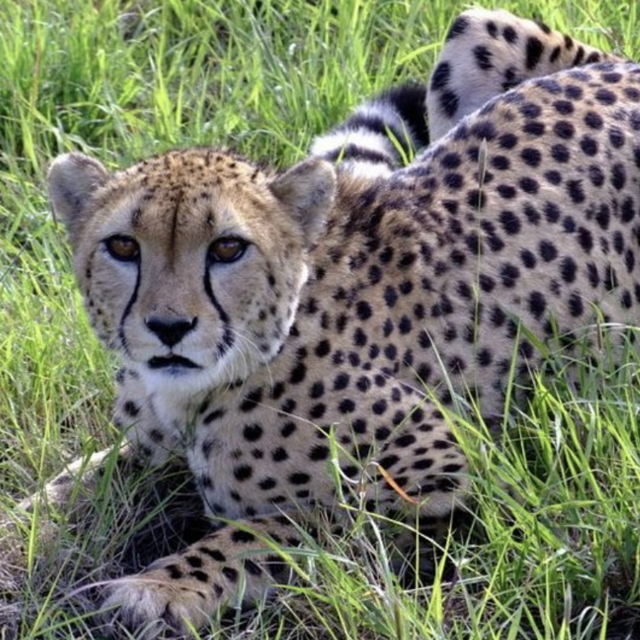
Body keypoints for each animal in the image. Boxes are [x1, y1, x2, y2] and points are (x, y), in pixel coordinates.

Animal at [21, 7, 640, 637]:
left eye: (227, 248)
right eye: (123, 246)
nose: (168, 327)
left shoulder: (455, 466)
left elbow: (271, 530)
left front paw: (160, 587)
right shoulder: (147, 445)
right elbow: (68, 484)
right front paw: (26, 520)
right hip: (473, 30)